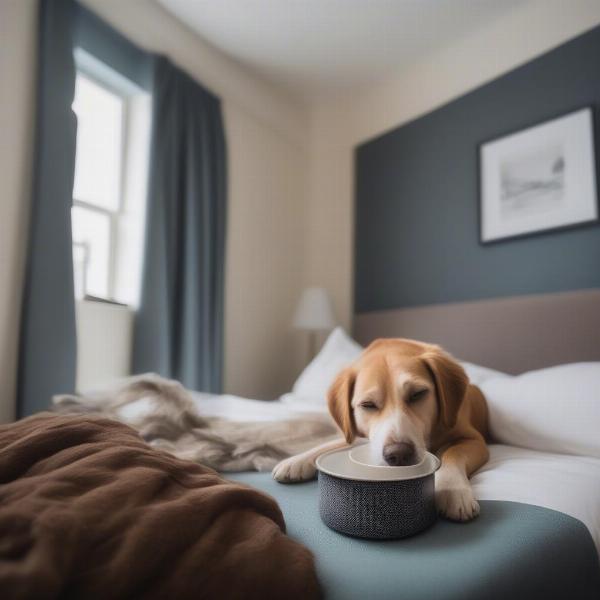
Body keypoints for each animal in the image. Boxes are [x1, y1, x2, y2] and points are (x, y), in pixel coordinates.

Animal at [272, 338, 488, 520]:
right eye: (368, 405)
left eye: (418, 394)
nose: (399, 454)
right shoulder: (356, 435)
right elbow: (330, 444)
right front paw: (297, 460)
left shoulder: (475, 440)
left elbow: (453, 452)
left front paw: (453, 489)